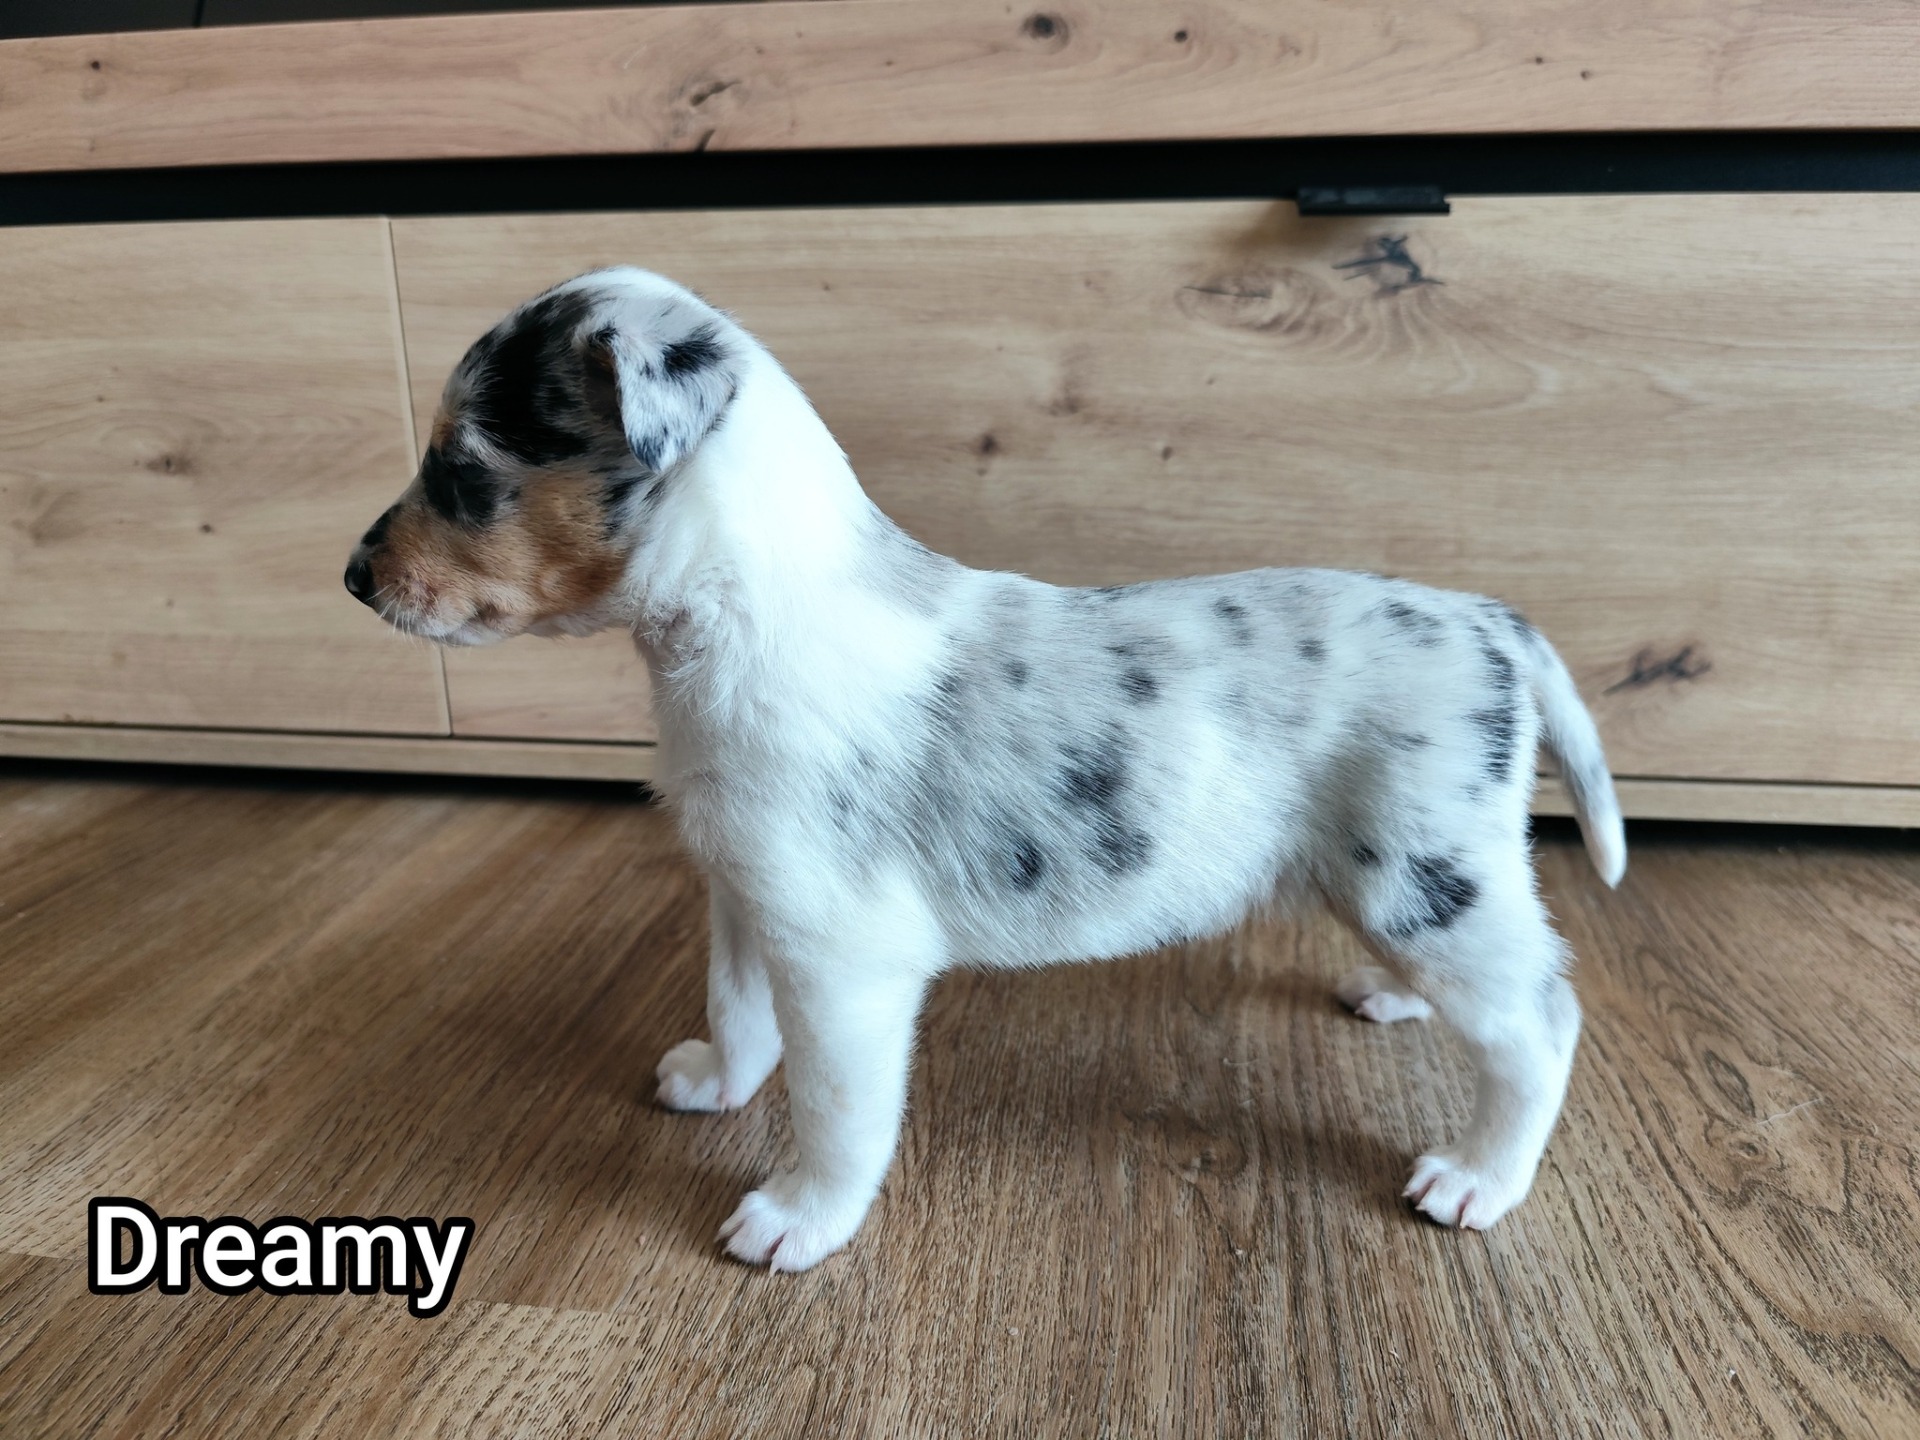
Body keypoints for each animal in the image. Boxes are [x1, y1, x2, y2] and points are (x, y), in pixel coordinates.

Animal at [345, 267, 1625, 1271]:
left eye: (461, 470)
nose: (353, 581)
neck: (739, 617)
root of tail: (1490, 621)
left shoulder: (845, 963)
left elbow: (836, 1110)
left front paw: (798, 1220)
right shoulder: (748, 896)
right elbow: (738, 1010)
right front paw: (716, 1080)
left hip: (1423, 875)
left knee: (1541, 1022)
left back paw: (1477, 1178)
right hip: (1408, 885)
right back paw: (1396, 1001)